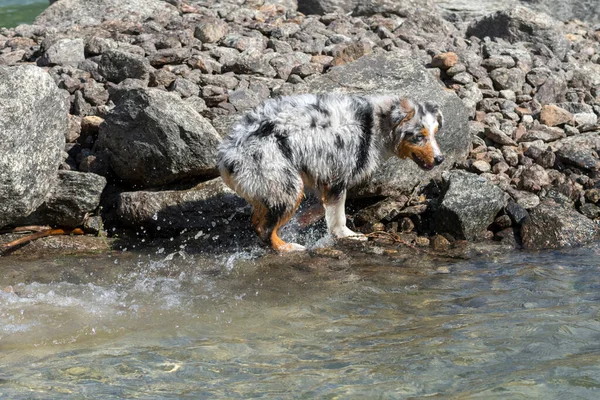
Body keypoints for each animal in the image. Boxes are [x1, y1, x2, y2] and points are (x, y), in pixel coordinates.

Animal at [218, 93, 442, 253]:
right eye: (419, 136)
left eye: (435, 133)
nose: (440, 159)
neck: (375, 124)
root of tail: (228, 155)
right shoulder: (337, 176)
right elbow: (338, 215)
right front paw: (348, 235)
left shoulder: (322, 175)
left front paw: (307, 219)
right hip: (286, 185)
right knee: (264, 229)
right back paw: (289, 247)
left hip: (267, 188)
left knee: (256, 221)